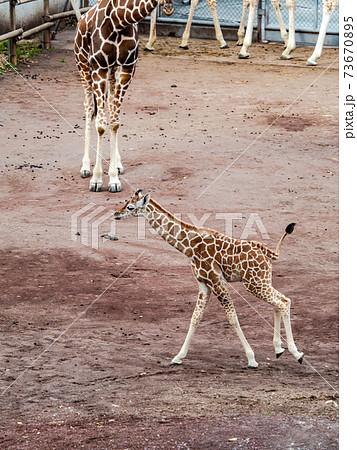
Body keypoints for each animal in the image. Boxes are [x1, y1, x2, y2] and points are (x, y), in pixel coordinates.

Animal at [75, 0, 174, 192]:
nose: (168, 7)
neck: (119, 21)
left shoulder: (127, 68)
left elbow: (114, 123)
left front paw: (113, 178)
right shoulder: (99, 67)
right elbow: (101, 125)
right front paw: (97, 180)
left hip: (112, 73)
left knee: (107, 107)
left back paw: (118, 164)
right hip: (83, 65)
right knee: (89, 108)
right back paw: (85, 167)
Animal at [114, 188, 304, 368]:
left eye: (130, 207)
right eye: (125, 202)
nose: (116, 213)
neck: (189, 247)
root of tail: (266, 253)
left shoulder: (217, 282)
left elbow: (232, 318)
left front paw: (251, 359)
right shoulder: (204, 285)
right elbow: (195, 318)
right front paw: (178, 357)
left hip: (254, 283)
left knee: (283, 302)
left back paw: (297, 354)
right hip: (261, 281)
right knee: (281, 301)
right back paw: (279, 349)